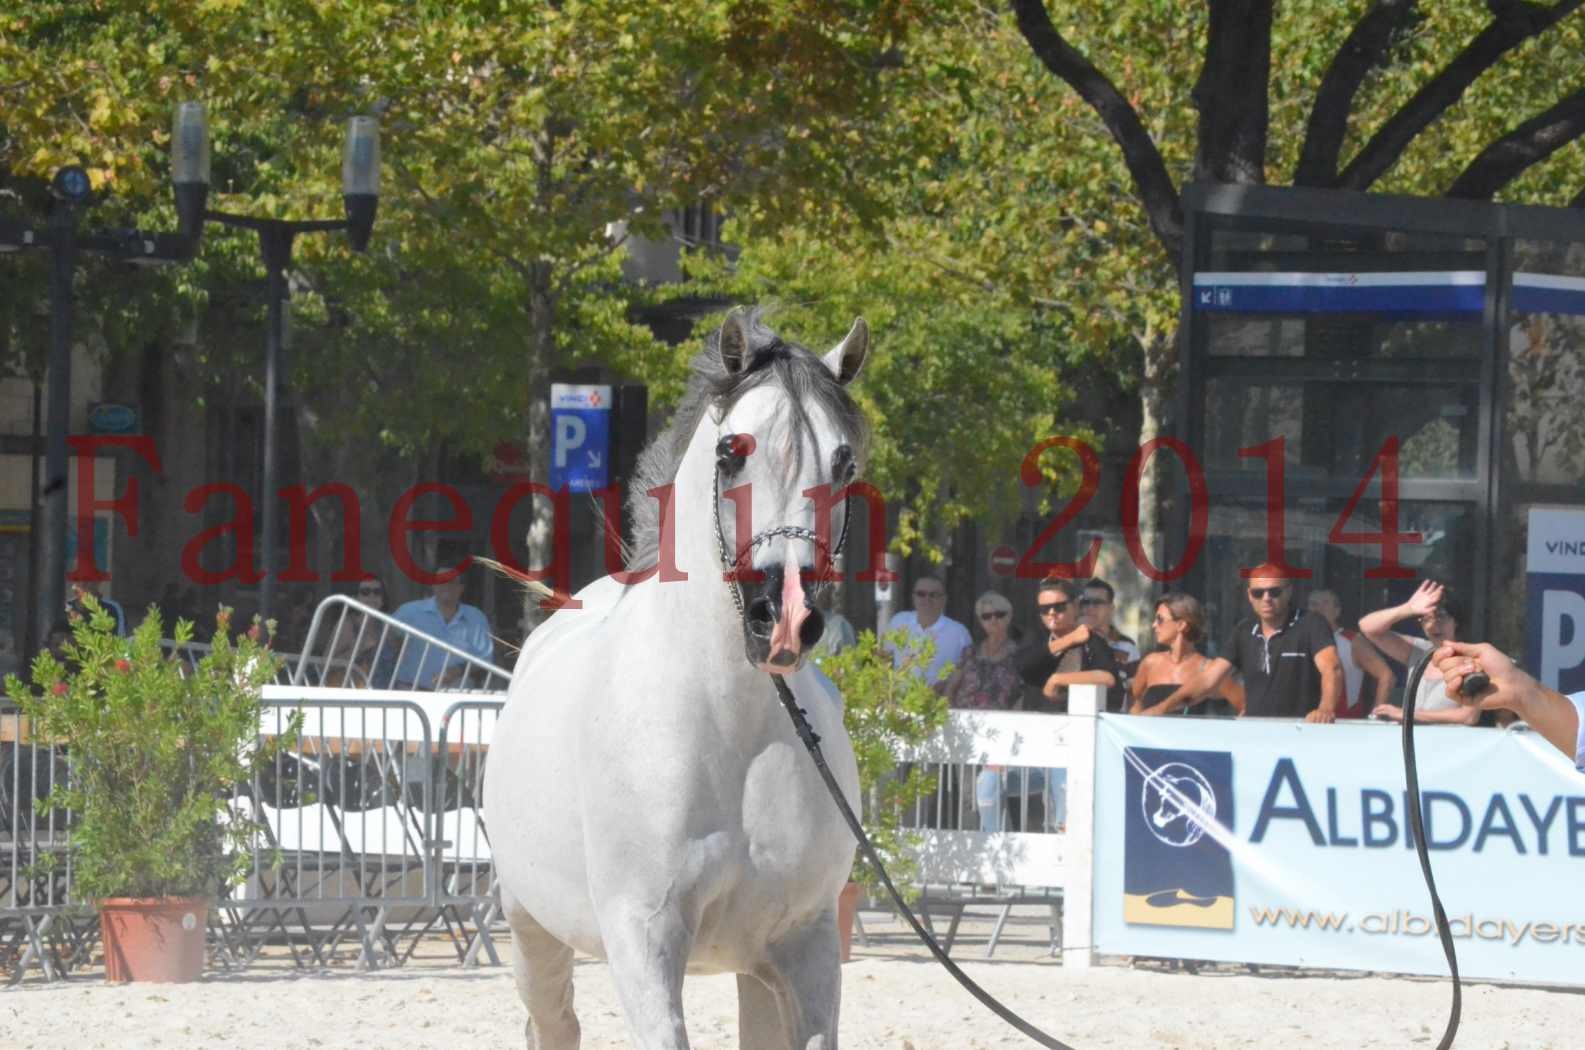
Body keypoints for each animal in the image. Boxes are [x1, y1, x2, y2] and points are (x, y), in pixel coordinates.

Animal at [488, 309, 874, 1046]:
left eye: (844, 464)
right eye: (730, 452)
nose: (783, 619)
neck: (729, 727)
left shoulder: (806, 943)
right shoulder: (642, 941)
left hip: (756, 973)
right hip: (530, 929)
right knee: (552, 1022)